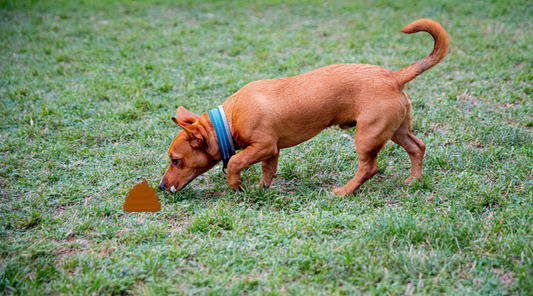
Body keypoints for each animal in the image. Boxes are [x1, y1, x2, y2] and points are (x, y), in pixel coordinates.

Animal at [159, 17, 448, 194]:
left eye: (175, 161)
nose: (161, 187)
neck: (226, 122)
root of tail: (393, 76)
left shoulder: (263, 145)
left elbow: (235, 163)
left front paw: (236, 184)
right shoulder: (271, 151)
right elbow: (267, 172)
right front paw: (260, 190)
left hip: (367, 136)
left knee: (369, 168)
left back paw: (345, 191)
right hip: (397, 130)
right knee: (417, 148)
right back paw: (413, 180)